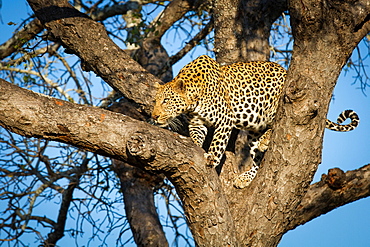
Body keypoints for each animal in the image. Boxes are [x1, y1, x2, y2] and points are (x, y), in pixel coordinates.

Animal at [150, 55, 358, 188]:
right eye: (155, 101)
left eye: (166, 101)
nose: (154, 116)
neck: (193, 99)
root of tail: (285, 71)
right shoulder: (197, 123)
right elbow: (196, 136)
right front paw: (194, 144)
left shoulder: (226, 120)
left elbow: (217, 143)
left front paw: (212, 159)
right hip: (252, 134)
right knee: (258, 159)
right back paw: (245, 177)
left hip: (277, 103)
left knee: (277, 124)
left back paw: (266, 140)